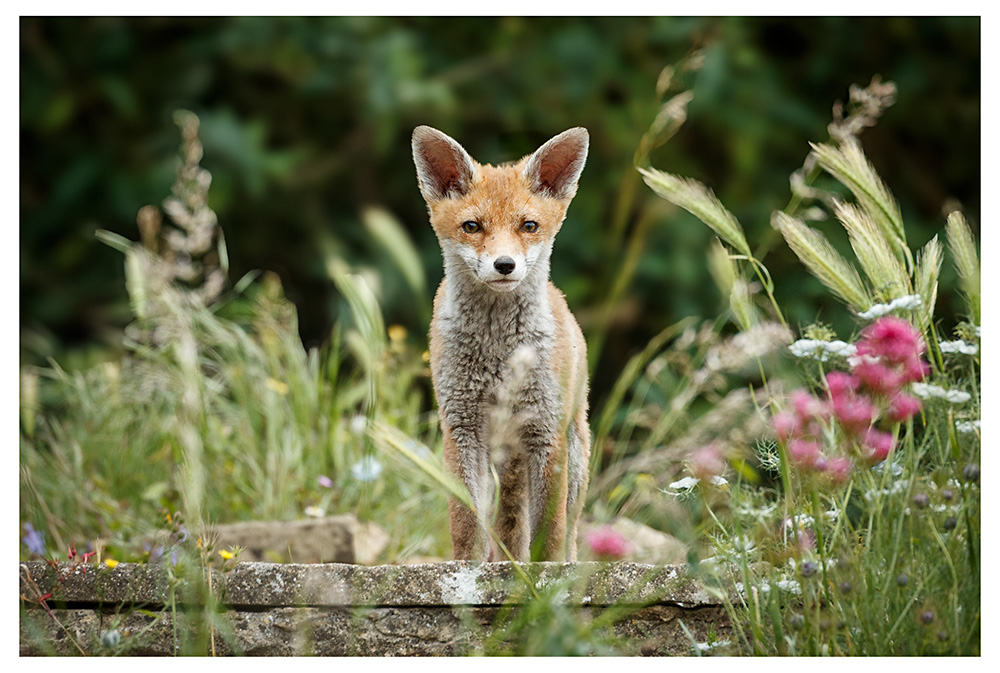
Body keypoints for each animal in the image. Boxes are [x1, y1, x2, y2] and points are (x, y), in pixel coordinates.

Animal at [411, 125, 591, 562]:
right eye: (472, 226)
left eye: (528, 226)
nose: (505, 265)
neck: (498, 354)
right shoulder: (461, 427)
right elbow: (465, 523)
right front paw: (466, 571)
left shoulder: (546, 429)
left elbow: (550, 532)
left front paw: (545, 576)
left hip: (574, 455)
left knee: (570, 530)